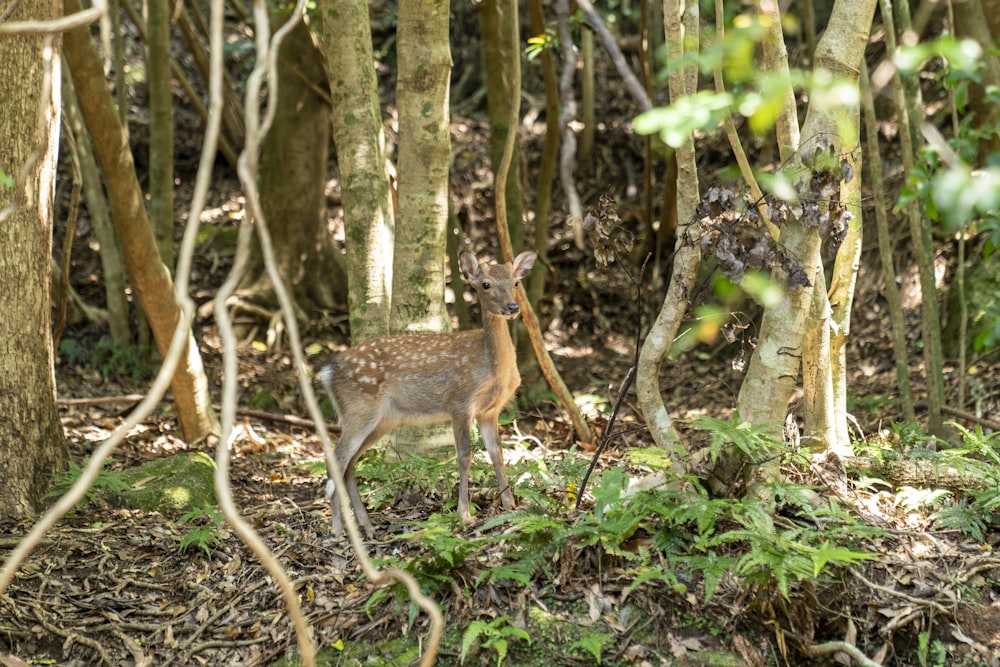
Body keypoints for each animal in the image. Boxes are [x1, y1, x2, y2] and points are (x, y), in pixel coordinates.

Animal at [320, 249, 540, 536]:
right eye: (486, 284)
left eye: (515, 282)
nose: (512, 308)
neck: (492, 368)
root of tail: (328, 371)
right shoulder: (459, 402)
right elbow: (465, 456)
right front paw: (464, 514)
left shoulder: (489, 411)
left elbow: (497, 454)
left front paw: (509, 504)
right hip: (359, 409)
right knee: (336, 459)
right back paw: (337, 529)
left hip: (383, 419)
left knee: (349, 465)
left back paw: (366, 527)